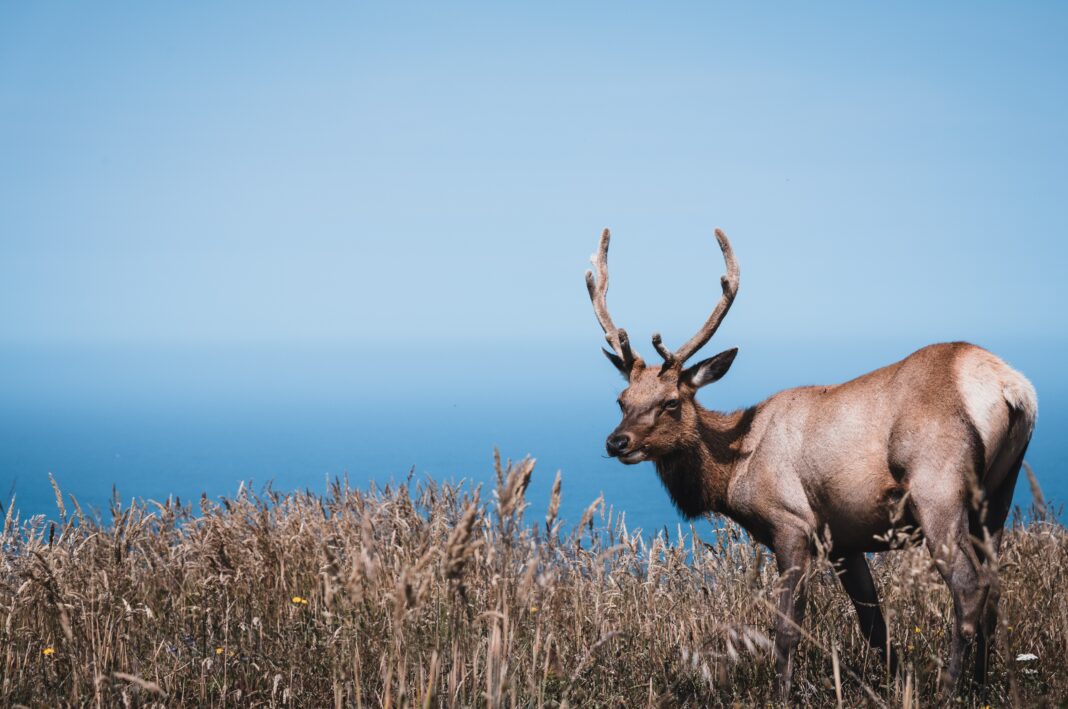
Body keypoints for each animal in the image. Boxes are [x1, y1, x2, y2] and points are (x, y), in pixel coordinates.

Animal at [585, 228, 1033, 696]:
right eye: (622, 400)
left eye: (671, 401)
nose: (617, 442)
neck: (734, 469)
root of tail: (1012, 388)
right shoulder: (844, 539)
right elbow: (874, 625)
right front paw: (895, 684)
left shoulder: (792, 523)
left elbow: (786, 629)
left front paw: (780, 693)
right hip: (999, 494)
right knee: (994, 589)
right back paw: (982, 685)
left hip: (937, 487)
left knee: (969, 587)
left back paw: (950, 688)